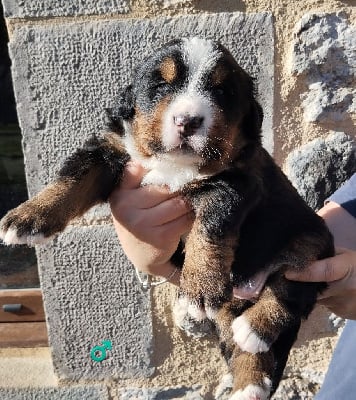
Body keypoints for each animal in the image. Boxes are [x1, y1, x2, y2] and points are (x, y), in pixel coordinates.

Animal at [0, 38, 334, 400]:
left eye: (221, 92)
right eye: (161, 85)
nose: (187, 121)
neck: (174, 164)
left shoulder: (235, 182)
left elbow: (210, 231)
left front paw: (199, 287)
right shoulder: (111, 149)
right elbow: (74, 178)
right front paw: (28, 216)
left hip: (310, 244)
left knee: (288, 292)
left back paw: (253, 331)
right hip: (232, 300)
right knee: (244, 341)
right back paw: (249, 383)